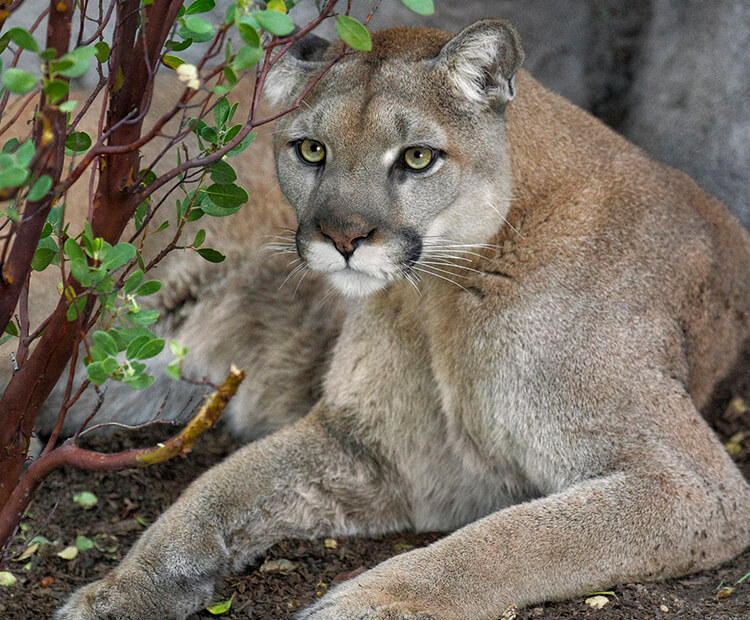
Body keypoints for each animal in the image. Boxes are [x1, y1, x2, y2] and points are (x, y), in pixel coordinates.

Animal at [57, 17, 750, 616]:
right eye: (311, 149)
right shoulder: (371, 448)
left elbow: (517, 540)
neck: (438, 298)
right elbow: (211, 494)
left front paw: (368, 604)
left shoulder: (686, 481)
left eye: (417, 158)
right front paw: (121, 592)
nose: (342, 237)